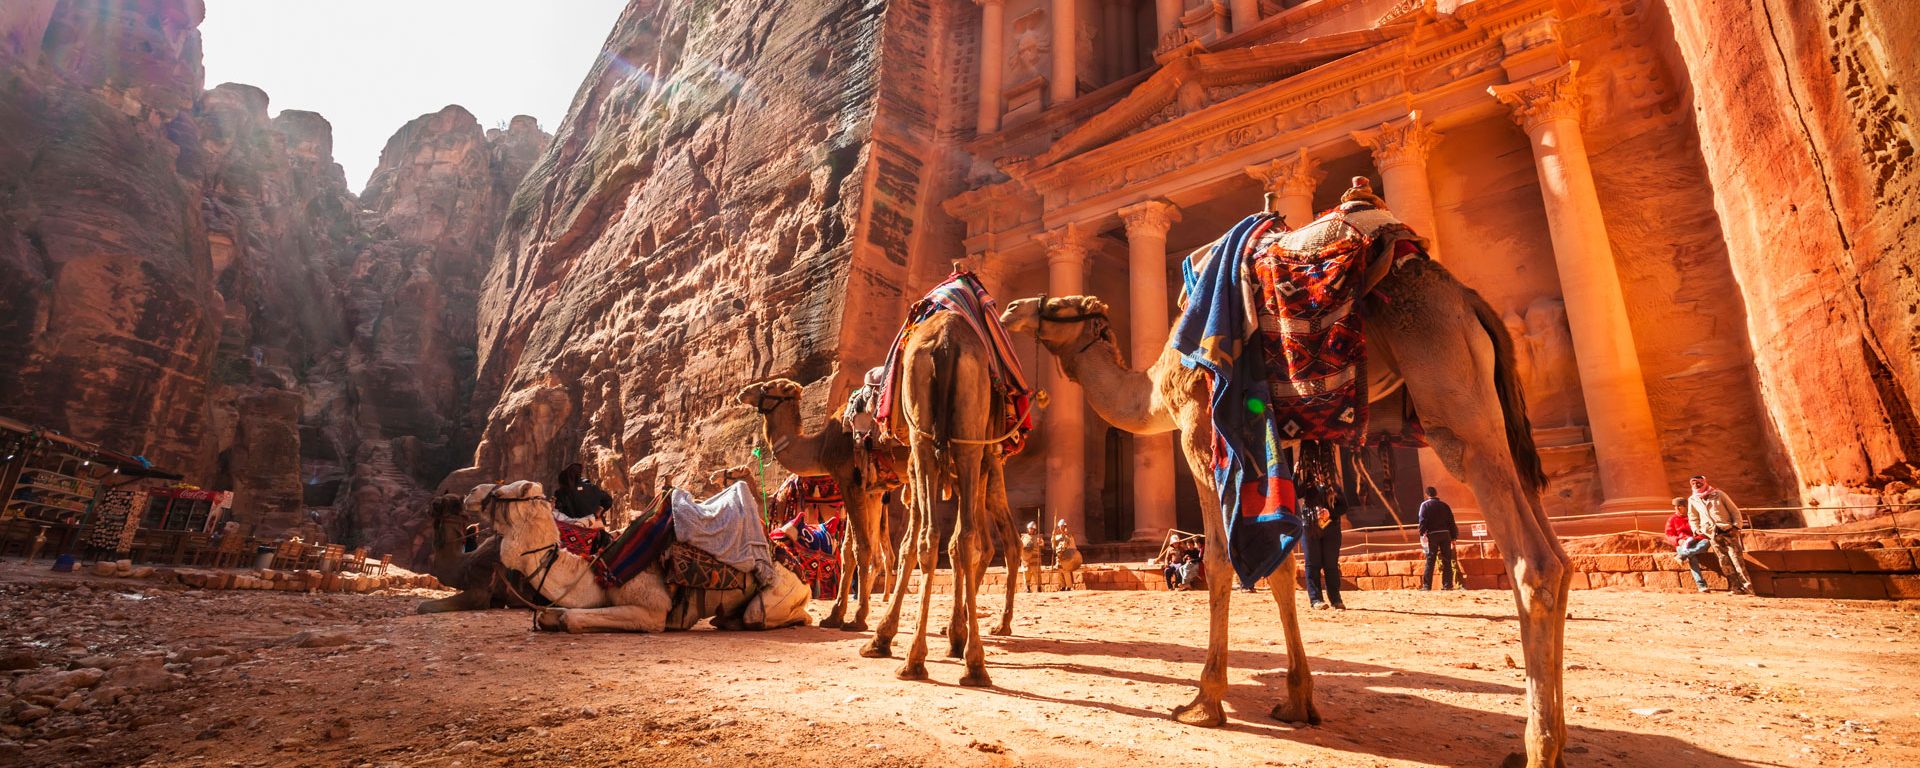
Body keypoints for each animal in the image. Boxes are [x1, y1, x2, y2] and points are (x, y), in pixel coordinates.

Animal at [998, 214, 1566, 760]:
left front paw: (1204, 701)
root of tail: (1468, 300)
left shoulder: (1200, 436)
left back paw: (1538, 748)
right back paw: (1548, 739)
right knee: (1557, 557)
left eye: (1064, 305)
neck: (1157, 387)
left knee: (1531, 561)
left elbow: (1220, 559)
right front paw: (1298, 700)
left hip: (1446, 379)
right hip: (1492, 406)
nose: (1010, 308)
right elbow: (1283, 566)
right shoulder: (1271, 447)